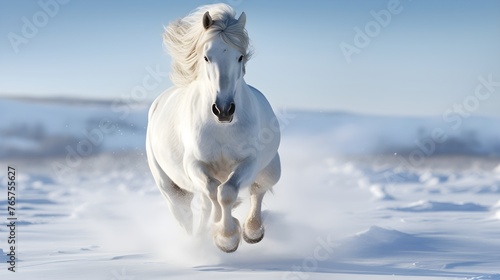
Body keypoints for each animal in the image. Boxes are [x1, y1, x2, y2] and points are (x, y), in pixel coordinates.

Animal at [146, 3, 282, 254]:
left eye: (240, 57)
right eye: (206, 57)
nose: (224, 110)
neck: (222, 129)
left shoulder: (249, 161)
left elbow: (226, 193)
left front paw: (227, 237)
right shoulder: (194, 164)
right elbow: (214, 192)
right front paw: (223, 233)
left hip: (270, 169)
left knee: (258, 189)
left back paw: (252, 231)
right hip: (170, 188)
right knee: (188, 212)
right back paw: (198, 240)